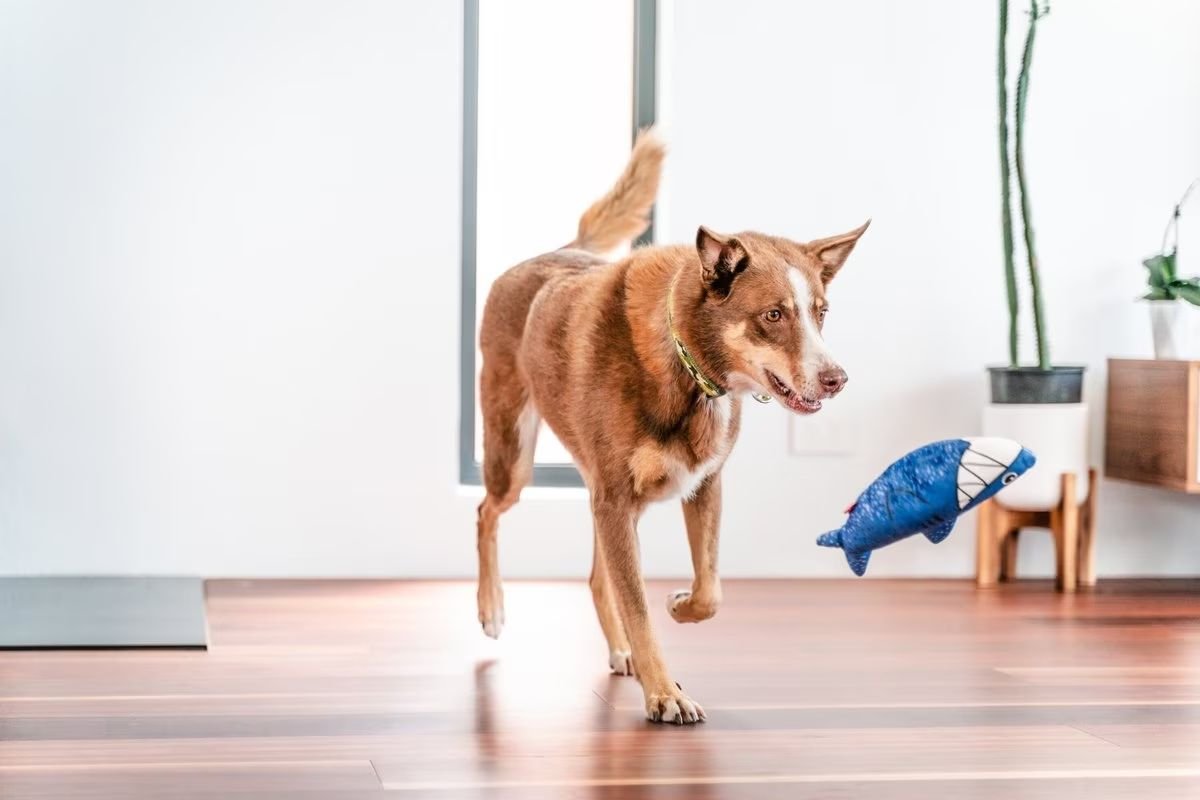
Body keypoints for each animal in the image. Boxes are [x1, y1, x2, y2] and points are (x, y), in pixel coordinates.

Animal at [472, 133, 868, 724]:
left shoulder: (703, 486)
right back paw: (492, 608)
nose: (837, 379)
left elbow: (710, 589)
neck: (693, 371)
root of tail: (551, 252)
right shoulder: (615, 498)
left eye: (821, 313)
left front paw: (680, 609)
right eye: (773, 316)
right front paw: (664, 693)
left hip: (610, 500)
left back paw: (620, 651)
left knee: (599, 577)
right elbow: (638, 606)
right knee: (486, 513)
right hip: (516, 458)